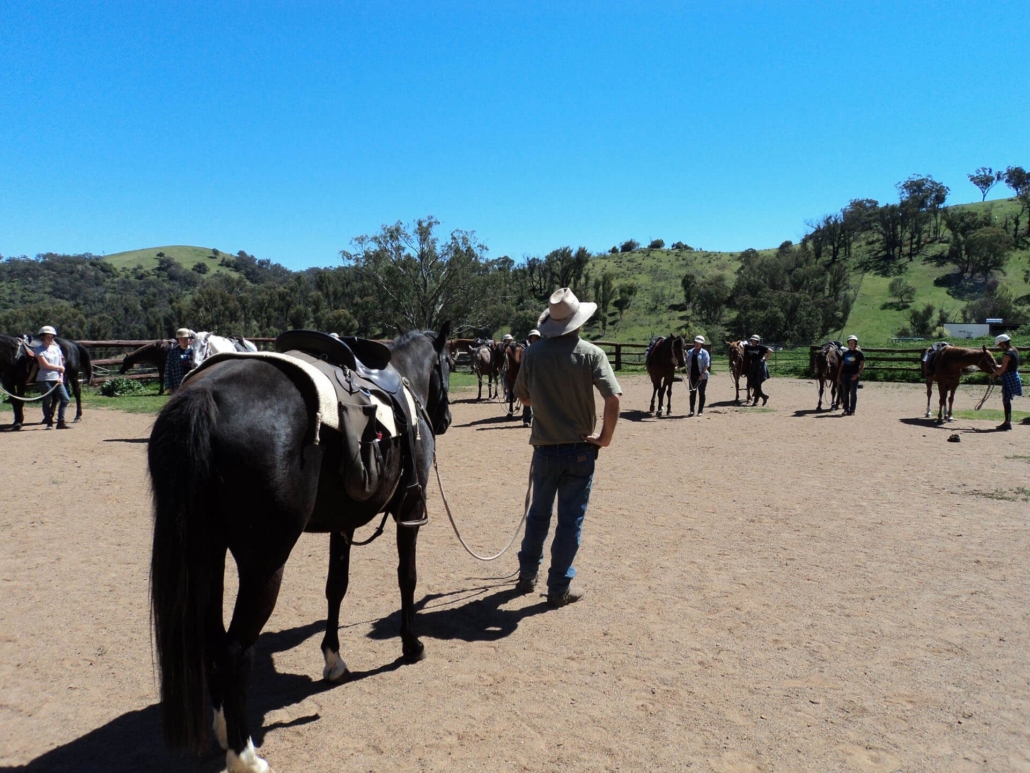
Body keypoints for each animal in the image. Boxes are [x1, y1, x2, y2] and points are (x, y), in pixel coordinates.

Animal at [149, 321, 451, 773]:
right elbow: (407, 578)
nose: (446, 418)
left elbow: (336, 588)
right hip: (264, 564)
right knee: (234, 650)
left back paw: (222, 727)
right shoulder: (410, 510)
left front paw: (334, 658)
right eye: (448, 363)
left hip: (206, 552)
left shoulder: (343, 525)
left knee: (212, 638)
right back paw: (244, 754)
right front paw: (411, 644)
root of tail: (204, 397)